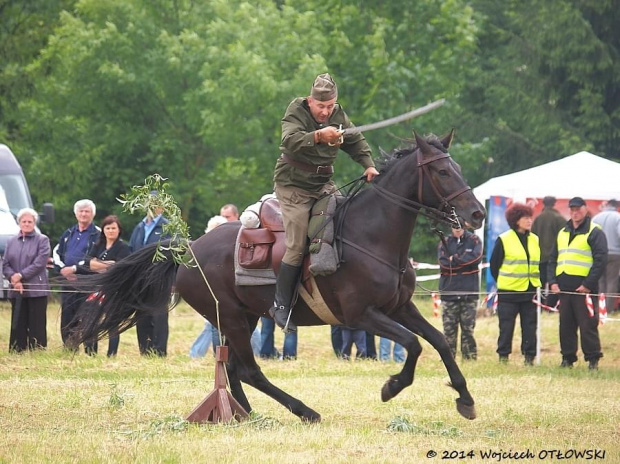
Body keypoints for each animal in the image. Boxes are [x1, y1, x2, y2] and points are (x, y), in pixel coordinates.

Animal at [72, 131, 486, 424]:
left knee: (234, 368)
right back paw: (302, 410)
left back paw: (245, 414)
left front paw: (465, 398)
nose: (477, 214)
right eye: (442, 171)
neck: (372, 236)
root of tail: (187, 249)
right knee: (249, 370)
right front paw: (392, 386)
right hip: (233, 318)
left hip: (244, 317)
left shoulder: (400, 308)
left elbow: (439, 341)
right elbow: (414, 345)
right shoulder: (362, 315)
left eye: (458, 169)